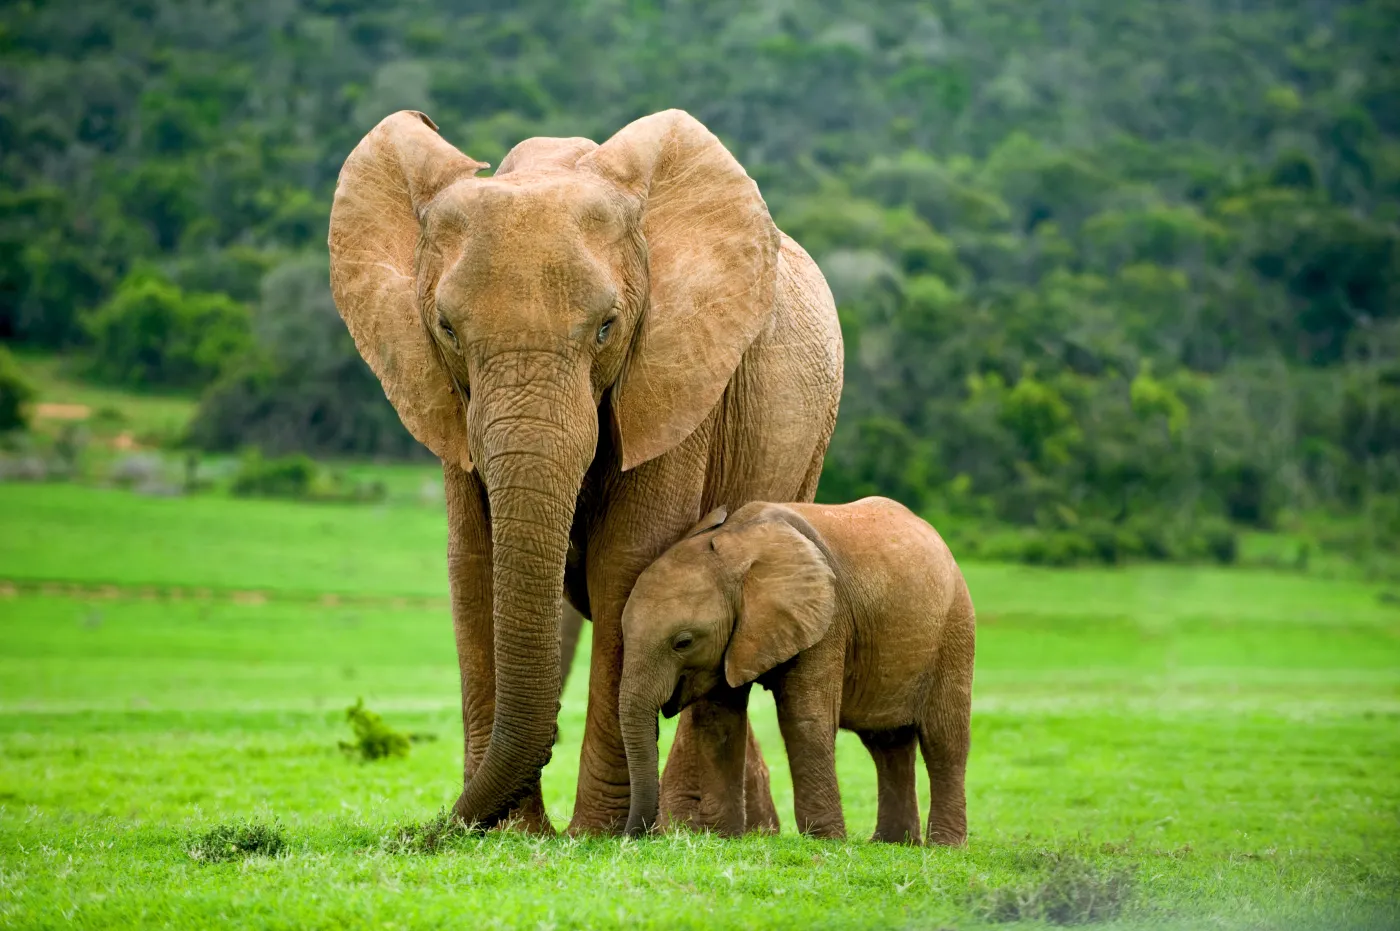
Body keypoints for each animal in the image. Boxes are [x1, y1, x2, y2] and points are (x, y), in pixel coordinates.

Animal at [327, 108, 843, 834]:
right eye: (447, 328)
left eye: (606, 327)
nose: (434, 829)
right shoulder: (447, 399)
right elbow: (475, 562)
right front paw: (512, 833)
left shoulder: (676, 372)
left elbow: (626, 562)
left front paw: (595, 834)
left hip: (808, 442)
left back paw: (697, 827)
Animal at [617, 498, 976, 845]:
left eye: (684, 642)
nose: (632, 837)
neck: (737, 548)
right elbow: (719, 721)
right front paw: (722, 837)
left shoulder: (827, 620)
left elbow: (804, 718)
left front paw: (825, 841)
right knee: (886, 743)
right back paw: (892, 843)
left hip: (955, 628)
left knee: (943, 739)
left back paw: (945, 845)